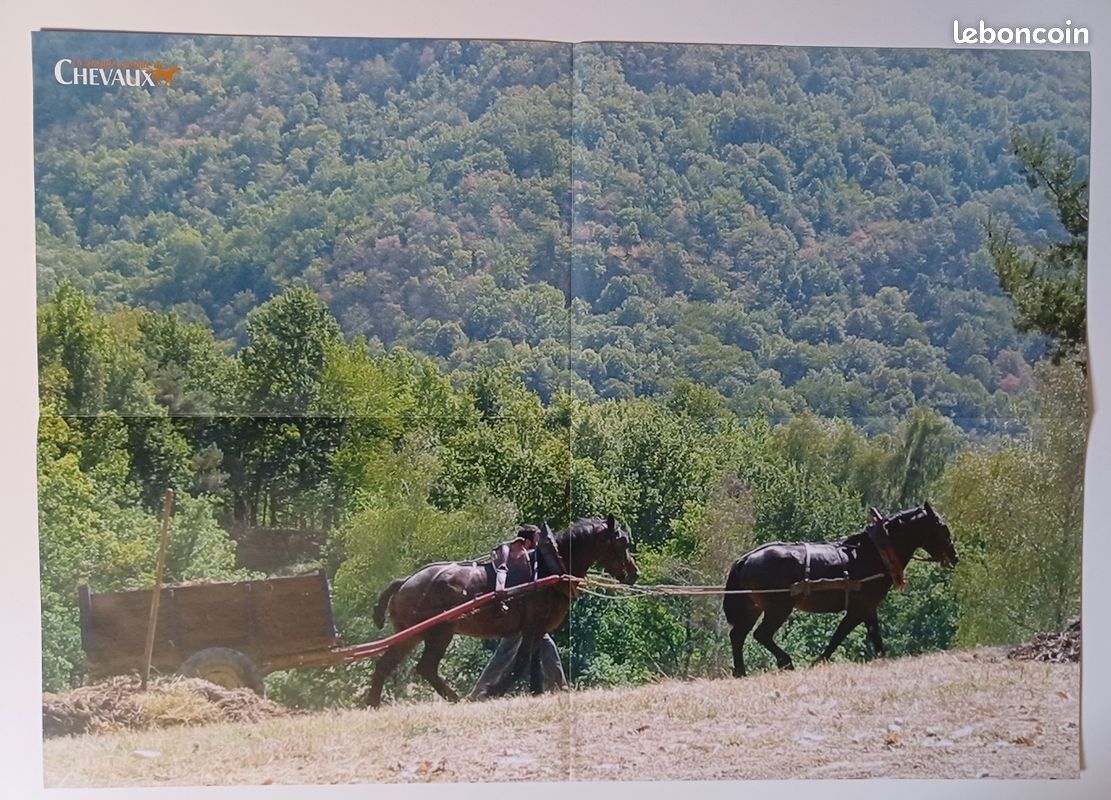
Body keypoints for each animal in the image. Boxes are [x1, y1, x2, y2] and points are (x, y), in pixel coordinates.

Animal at [363, 515, 638, 707]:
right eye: (622, 541)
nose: (634, 573)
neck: (549, 567)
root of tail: (404, 581)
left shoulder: (538, 630)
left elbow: (534, 663)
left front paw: (536, 692)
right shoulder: (532, 627)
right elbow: (520, 663)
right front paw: (492, 692)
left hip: (416, 634)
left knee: (390, 664)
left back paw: (373, 703)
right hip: (436, 633)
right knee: (423, 667)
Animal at [722, 502, 958, 677]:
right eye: (941, 526)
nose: (954, 557)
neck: (875, 552)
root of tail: (745, 559)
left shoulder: (869, 608)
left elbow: (874, 636)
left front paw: (882, 659)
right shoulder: (859, 608)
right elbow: (840, 635)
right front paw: (819, 661)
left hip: (753, 607)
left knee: (738, 635)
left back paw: (741, 672)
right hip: (778, 607)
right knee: (761, 634)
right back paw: (785, 662)